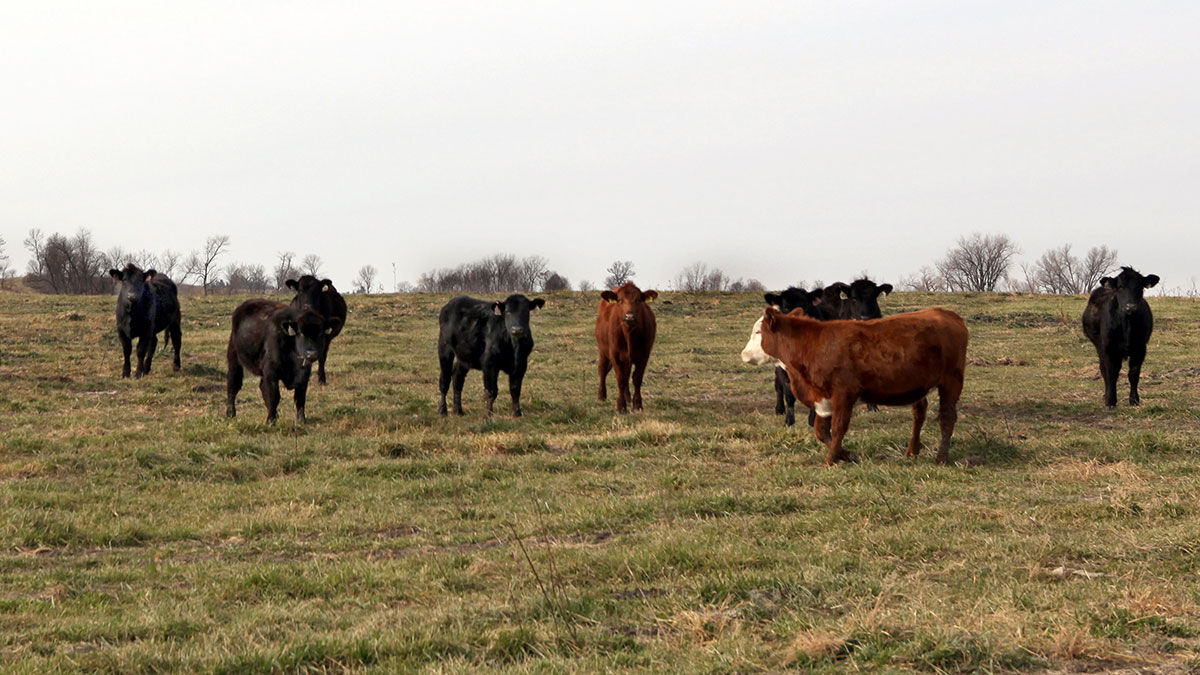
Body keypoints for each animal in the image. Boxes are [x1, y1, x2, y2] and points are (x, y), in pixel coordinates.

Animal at [596, 281, 659, 413]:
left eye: (638, 300)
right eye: (619, 300)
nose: (629, 316)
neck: (629, 335)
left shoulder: (644, 355)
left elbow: (637, 379)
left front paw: (637, 405)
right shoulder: (614, 355)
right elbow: (620, 380)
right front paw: (621, 406)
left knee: (627, 375)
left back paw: (628, 398)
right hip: (603, 351)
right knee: (602, 370)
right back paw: (601, 396)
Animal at [756, 306, 968, 466]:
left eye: (757, 332)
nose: (747, 354)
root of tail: (946, 313)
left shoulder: (844, 394)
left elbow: (838, 428)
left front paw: (831, 461)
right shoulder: (823, 400)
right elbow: (821, 431)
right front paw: (848, 455)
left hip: (952, 380)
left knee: (947, 417)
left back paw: (941, 458)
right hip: (918, 386)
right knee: (919, 413)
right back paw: (912, 451)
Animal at [1082, 266, 1159, 408]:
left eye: (1140, 286)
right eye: (1120, 287)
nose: (1130, 306)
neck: (1127, 324)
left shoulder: (1140, 348)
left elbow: (1134, 373)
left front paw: (1134, 400)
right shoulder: (1109, 347)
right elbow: (1111, 373)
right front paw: (1111, 401)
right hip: (1099, 346)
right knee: (1104, 370)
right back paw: (1106, 395)